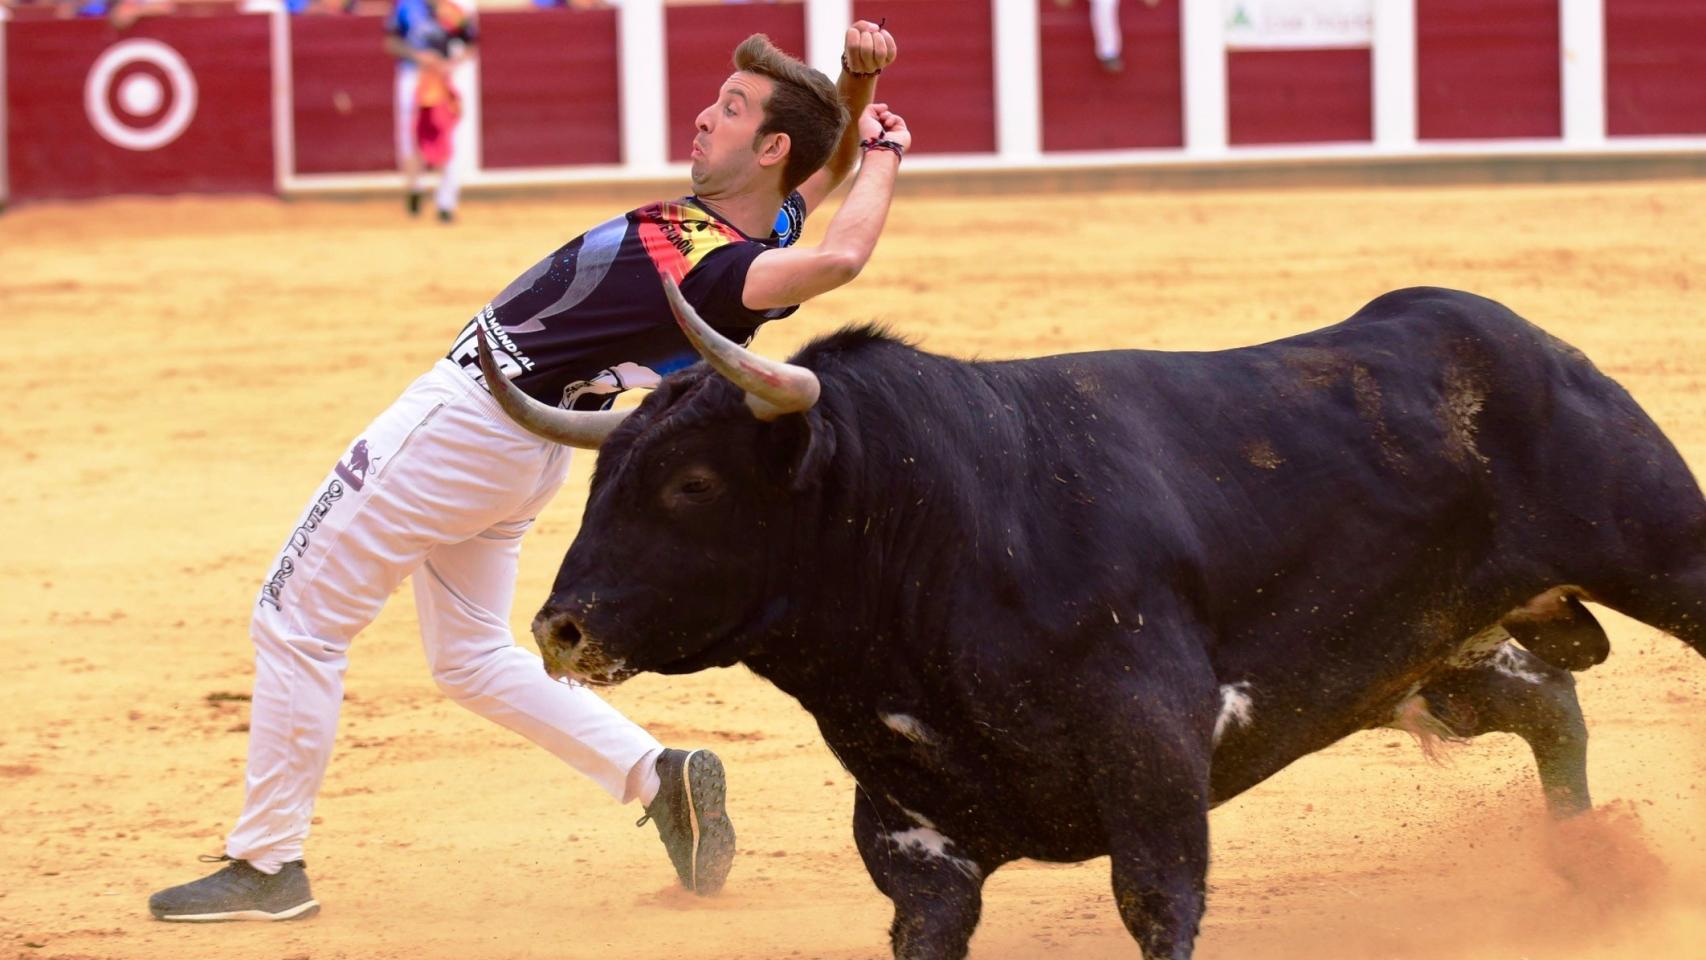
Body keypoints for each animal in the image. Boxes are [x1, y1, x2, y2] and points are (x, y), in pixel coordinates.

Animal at [474, 284, 1699, 960]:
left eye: (690, 485)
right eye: (601, 477)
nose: (562, 630)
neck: (933, 523)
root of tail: (1505, 333)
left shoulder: (1150, 768)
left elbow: (1156, 903)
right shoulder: (916, 843)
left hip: (1661, 553)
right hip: (1427, 656)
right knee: (1548, 700)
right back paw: (1588, 871)